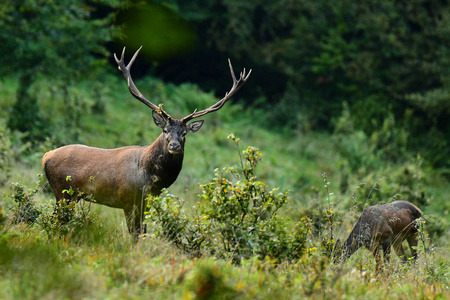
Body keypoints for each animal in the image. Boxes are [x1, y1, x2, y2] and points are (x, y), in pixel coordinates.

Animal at [41, 47, 253, 239]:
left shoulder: (147, 202)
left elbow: (142, 232)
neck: (149, 176)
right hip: (62, 192)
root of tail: (45, 157)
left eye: (184, 133)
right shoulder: (127, 199)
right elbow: (134, 234)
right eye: (165, 130)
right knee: (55, 221)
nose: (174, 146)